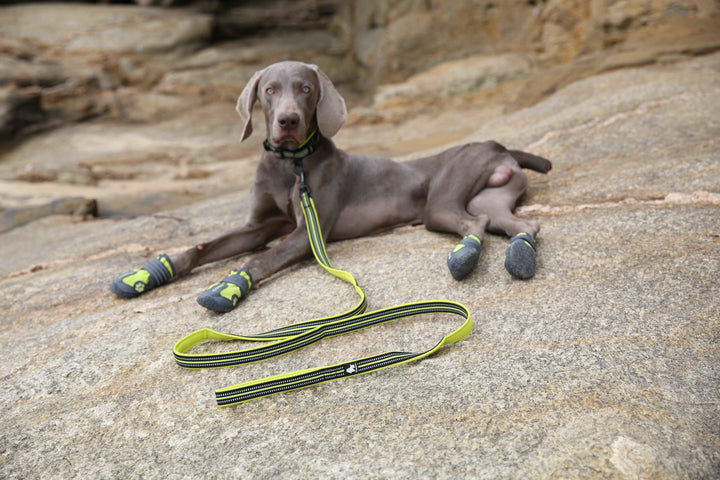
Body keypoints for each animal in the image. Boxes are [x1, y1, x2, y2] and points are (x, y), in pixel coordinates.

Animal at [111, 60, 552, 314]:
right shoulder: (257, 226)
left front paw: (229, 287)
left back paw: (464, 258)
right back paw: (520, 257)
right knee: (521, 226)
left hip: (443, 198)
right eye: (269, 90)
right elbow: (200, 248)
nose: (288, 121)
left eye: (305, 89)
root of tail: (499, 145)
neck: (290, 164)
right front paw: (147, 274)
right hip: (491, 197)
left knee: (474, 225)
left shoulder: (307, 233)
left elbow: (261, 259)